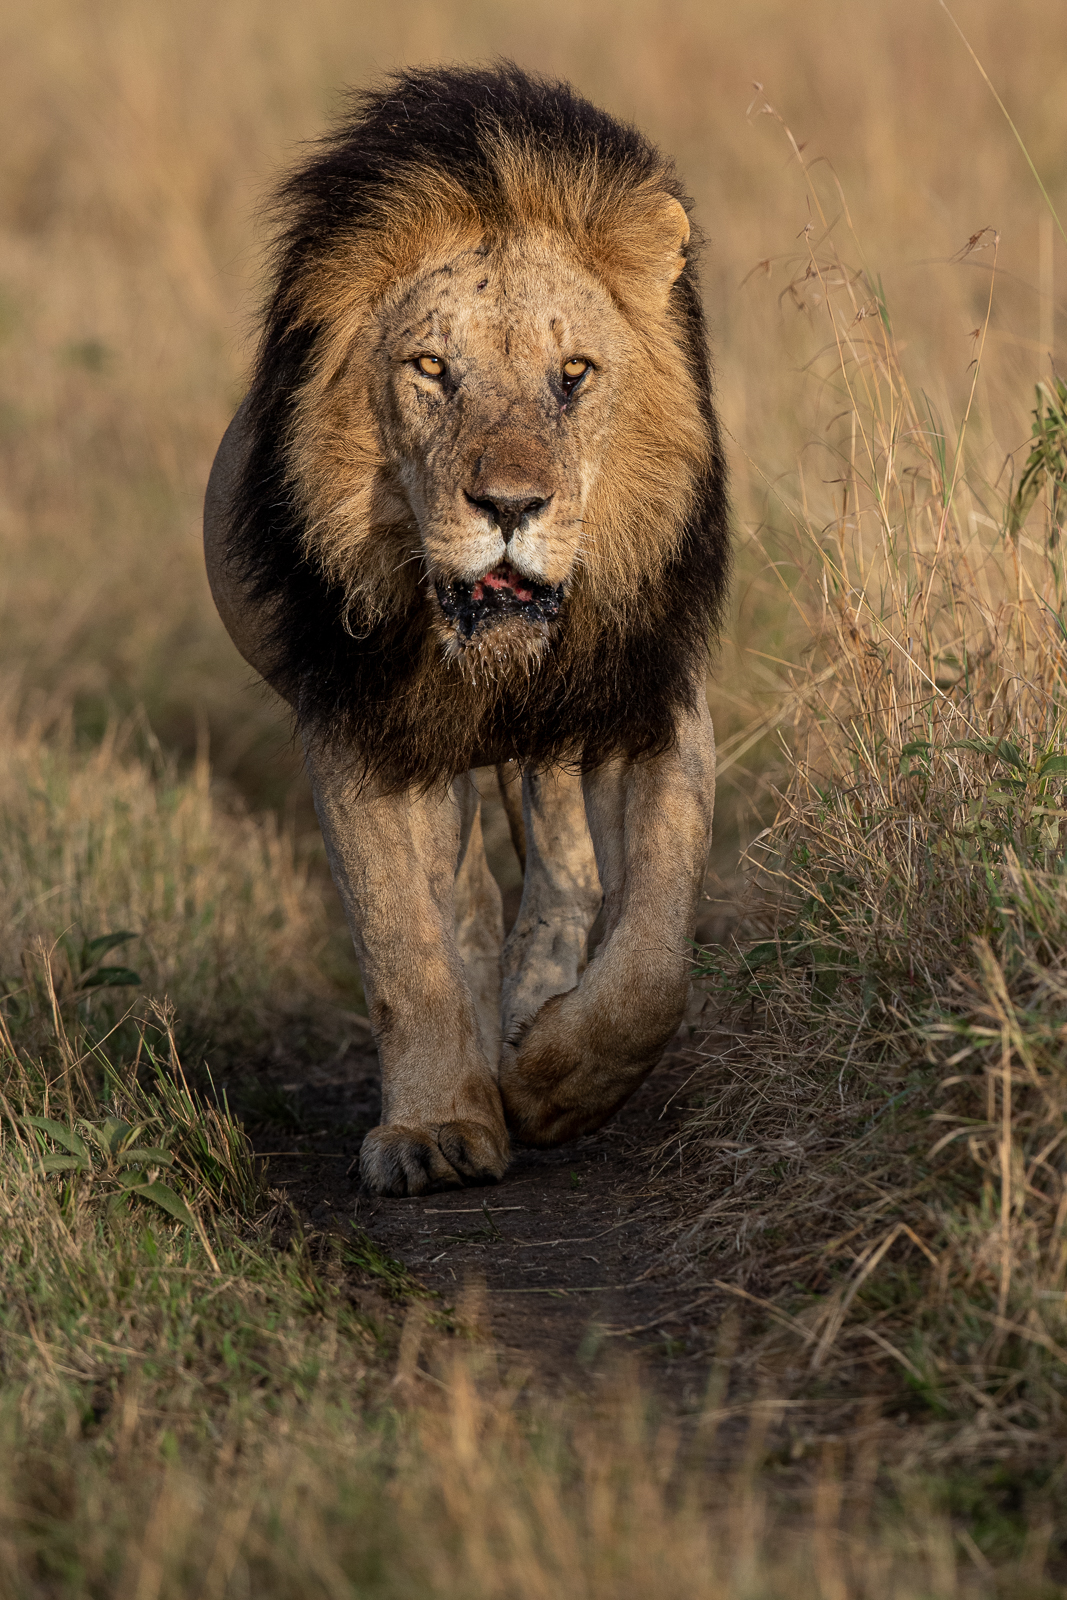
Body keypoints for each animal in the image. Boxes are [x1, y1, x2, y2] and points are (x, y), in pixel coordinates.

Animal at [203, 68, 729, 1203]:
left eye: (573, 373)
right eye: (430, 369)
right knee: (470, 900)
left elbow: (652, 960)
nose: (510, 505)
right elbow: (406, 945)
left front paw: (555, 1087)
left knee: (562, 868)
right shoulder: (359, 725)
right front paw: (437, 1128)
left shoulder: (648, 697)